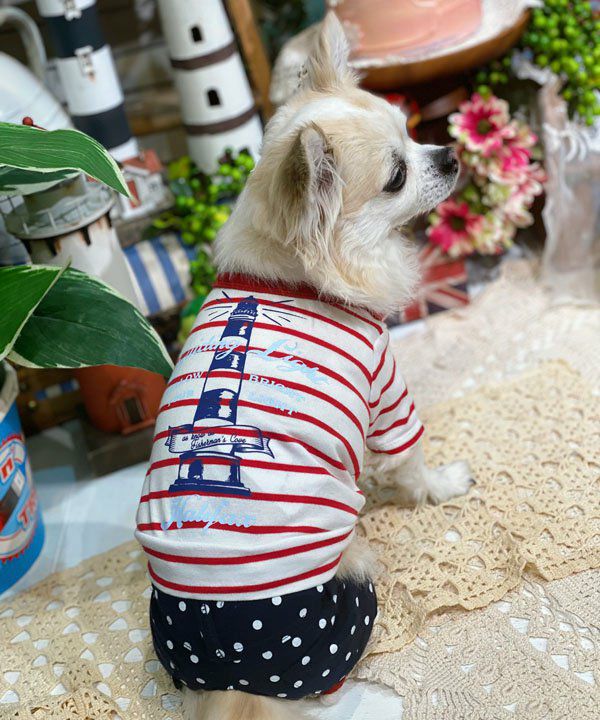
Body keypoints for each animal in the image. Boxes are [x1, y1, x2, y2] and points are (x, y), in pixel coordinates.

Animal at [136, 12, 471, 720]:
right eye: (397, 176)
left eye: (410, 129)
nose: (451, 155)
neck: (294, 278)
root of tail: (229, 670)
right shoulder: (385, 389)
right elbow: (413, 464)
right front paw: (442, 485)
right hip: (355, 583)